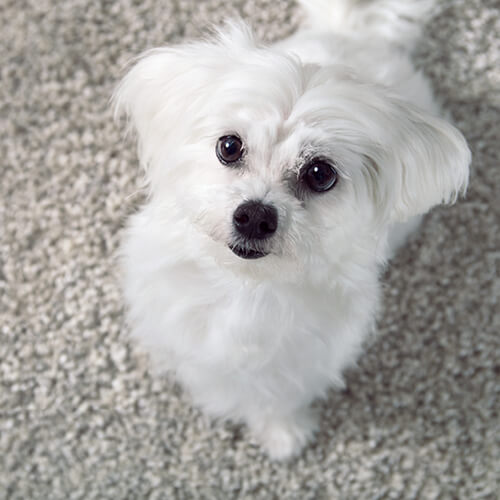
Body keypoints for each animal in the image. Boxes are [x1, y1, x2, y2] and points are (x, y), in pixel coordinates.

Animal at [113, 0, 468, 460]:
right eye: (229, 146)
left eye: (320, 173)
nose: (254, 216)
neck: (243, 285)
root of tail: (357, 34)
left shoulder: (295, 363)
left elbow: (273, 398)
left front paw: (283, 435)